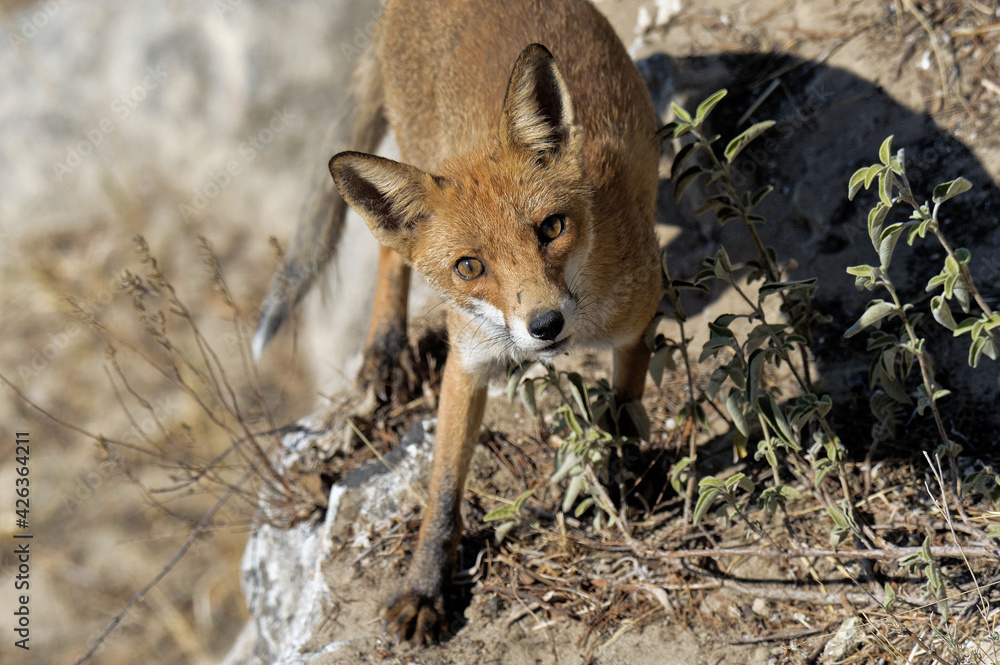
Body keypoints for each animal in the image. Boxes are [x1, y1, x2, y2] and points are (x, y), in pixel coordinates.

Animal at [253, 0, 662, 645]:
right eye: (471, 267)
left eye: (552, 227)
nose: (544, 325)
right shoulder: (467, 362)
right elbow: (443, 491)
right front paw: (425, 589)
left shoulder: (639, 317)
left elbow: (620, 416)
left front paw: (620, 484)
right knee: (391, 251)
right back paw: (385, 350)